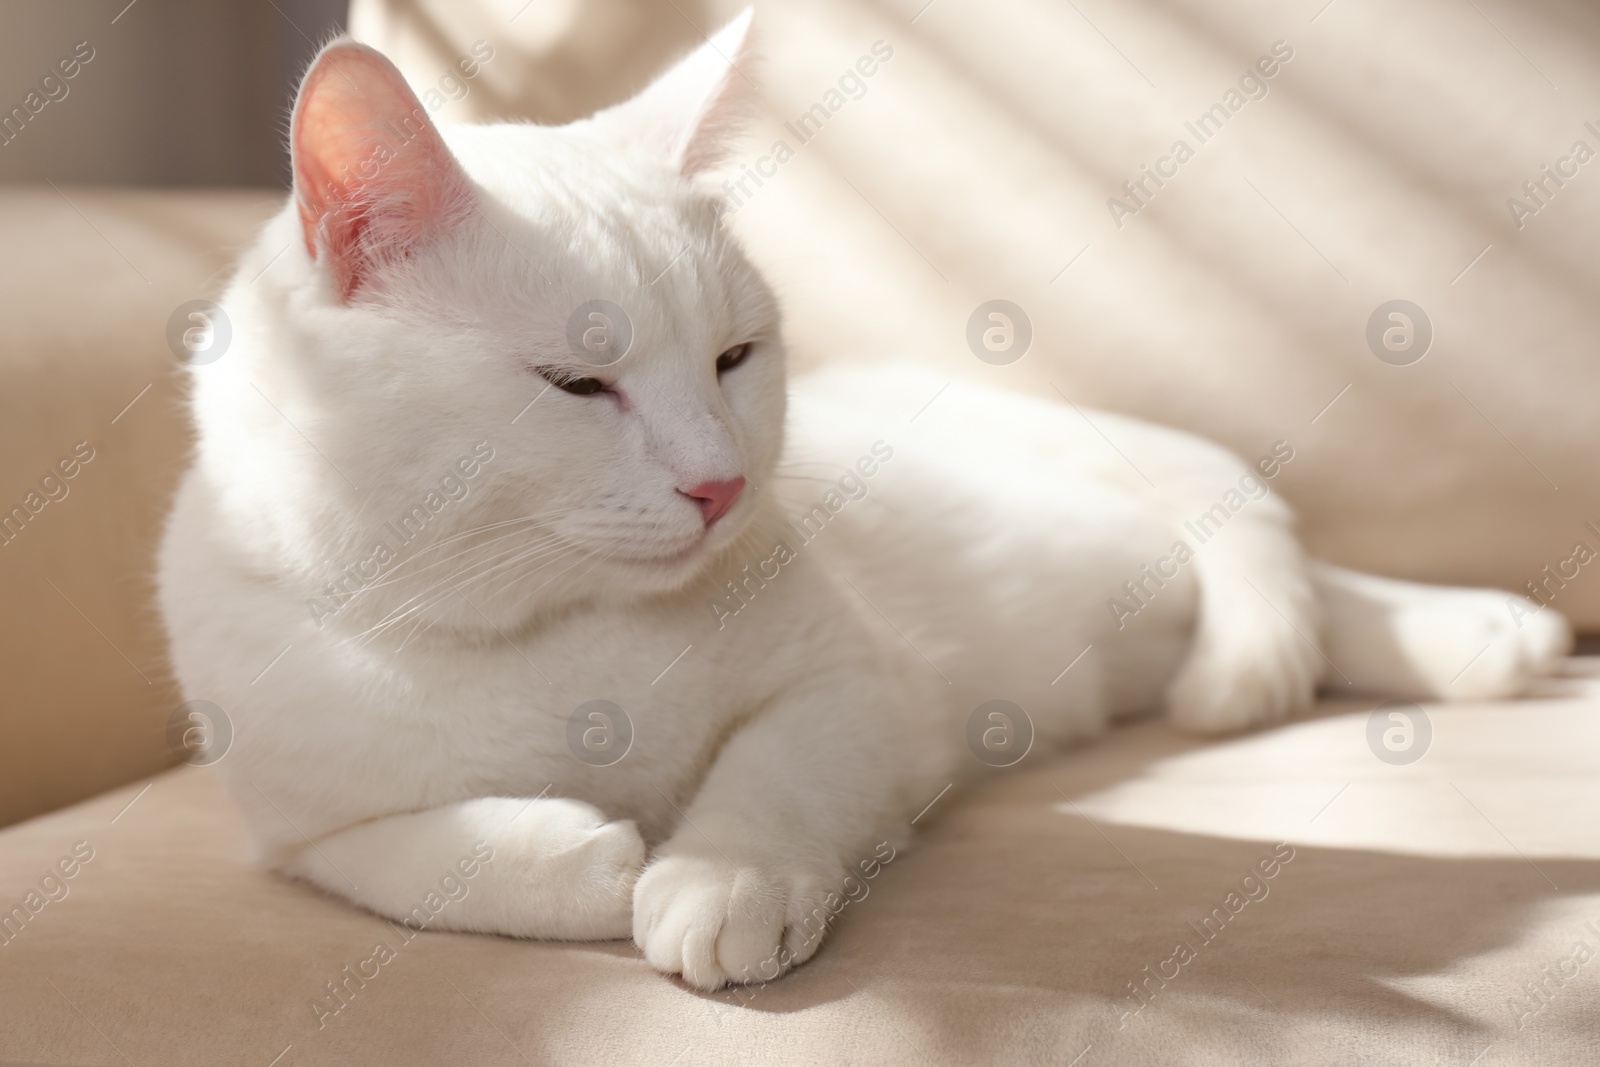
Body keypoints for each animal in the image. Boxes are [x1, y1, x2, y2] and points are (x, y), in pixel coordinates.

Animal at [159, 10, 1561, 991]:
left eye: (732, 357)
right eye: (578, 382)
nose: (719, 480)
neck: (548, 634)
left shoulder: (860, 689)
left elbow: (771, 774)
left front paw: (718, 881)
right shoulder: (295, 824)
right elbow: (409, 857)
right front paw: (591, 856)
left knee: (1283, 572)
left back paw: (1482, 631)